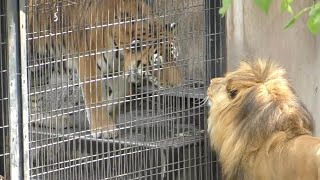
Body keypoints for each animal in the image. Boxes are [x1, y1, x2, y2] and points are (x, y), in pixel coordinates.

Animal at [26, 0, 182, 139]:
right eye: (157, 66)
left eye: (175, 59)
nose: (178, 85)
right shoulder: (89, 63)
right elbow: (94, 96)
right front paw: (104, 128)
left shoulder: (116, 68)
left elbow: (123, 93)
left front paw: (109, 112)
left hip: (39, 69)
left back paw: (54, 120)